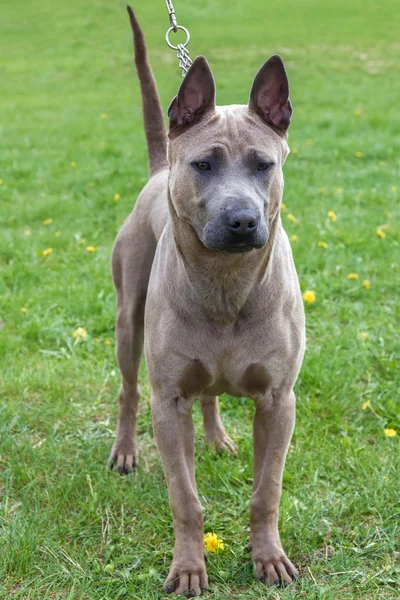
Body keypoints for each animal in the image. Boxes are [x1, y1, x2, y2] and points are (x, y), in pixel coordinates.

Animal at [108, 7, 304, 596]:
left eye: (263, 164)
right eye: (203, 165)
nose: (241, 220)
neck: (225, 285)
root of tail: (157, 171)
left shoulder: (279, 401)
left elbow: (267, 491)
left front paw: (269, 558)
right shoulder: (169, 401)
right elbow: (185, 498)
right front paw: (190, 567)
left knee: (212, 395)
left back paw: (217, 438)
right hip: (128, 322)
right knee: (128, 390)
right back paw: (125, 451)